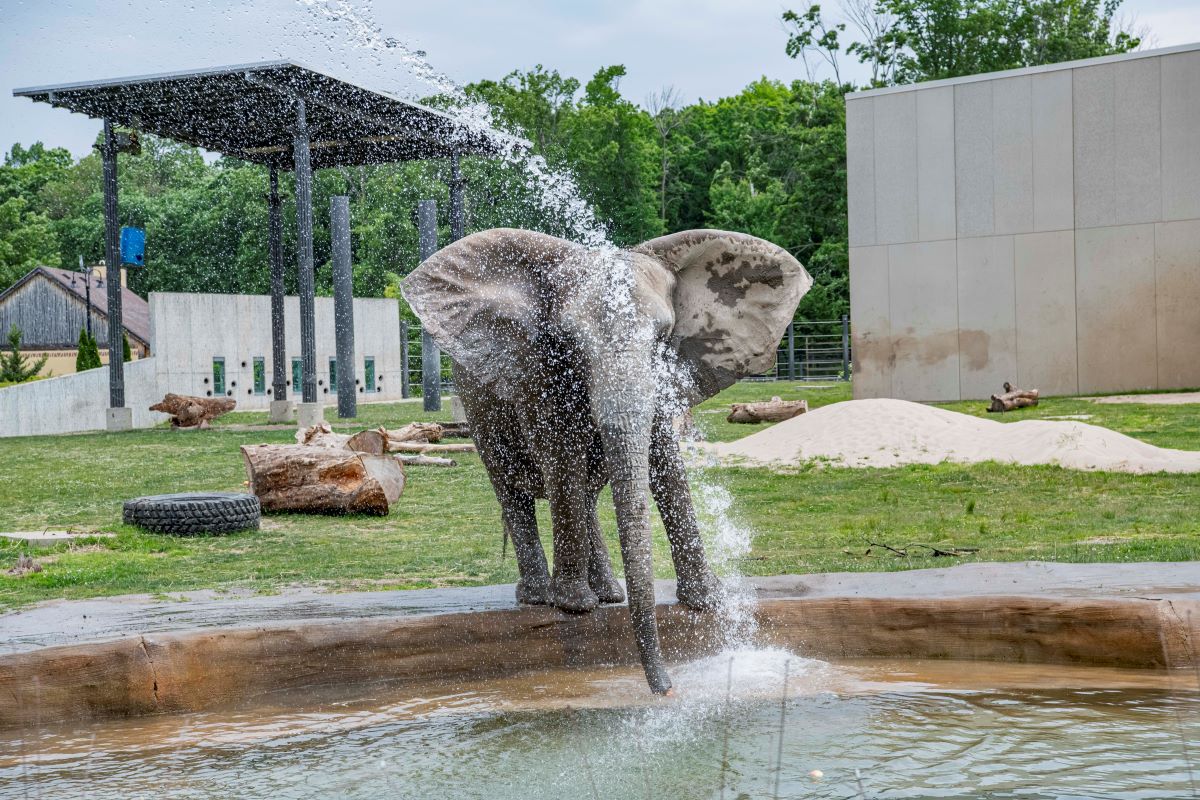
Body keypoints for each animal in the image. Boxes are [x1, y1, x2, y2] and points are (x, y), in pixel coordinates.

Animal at [403, 228, 811, 694]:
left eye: (663, 337)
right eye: (570, 340)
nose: (666, 689)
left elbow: (664, 461)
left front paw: (710, 601)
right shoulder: (539, 372)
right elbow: (563, 458)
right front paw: (573, 607)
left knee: (585, 494)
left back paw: (610, 594)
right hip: (478, 408)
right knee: (513, 490)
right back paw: (542, 596)